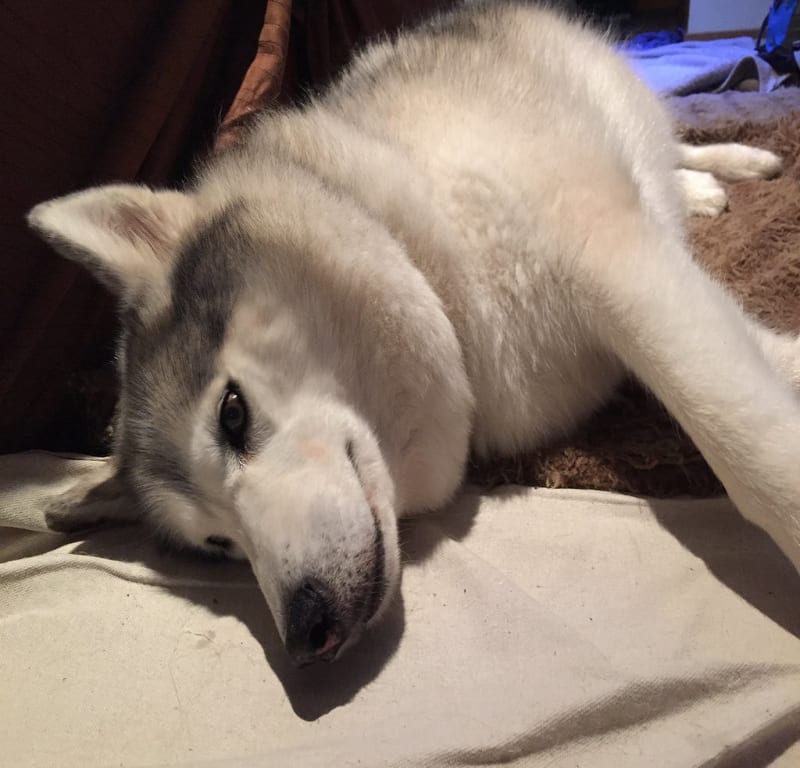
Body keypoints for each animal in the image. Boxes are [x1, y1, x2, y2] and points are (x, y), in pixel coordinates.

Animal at [28, 1, 799, 666]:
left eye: (232, 413)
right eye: (218, 544)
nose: (306, 634)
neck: (435, 276)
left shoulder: (620, 268)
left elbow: (750, 452)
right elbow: (757, 364)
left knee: (671, 139)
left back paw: (730, 167)